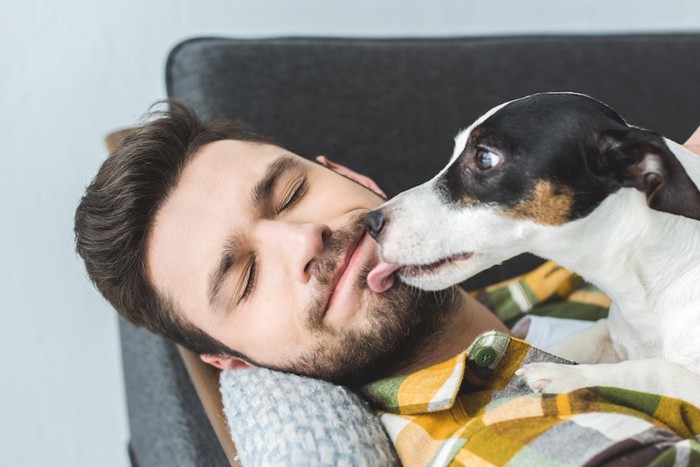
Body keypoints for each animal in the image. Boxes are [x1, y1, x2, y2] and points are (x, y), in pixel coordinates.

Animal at [366, 93, 700, 408]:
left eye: (484, 158)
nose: (371, 222)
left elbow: (652, 370)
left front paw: (567, 375)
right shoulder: (610, 331)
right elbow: (576, 341)